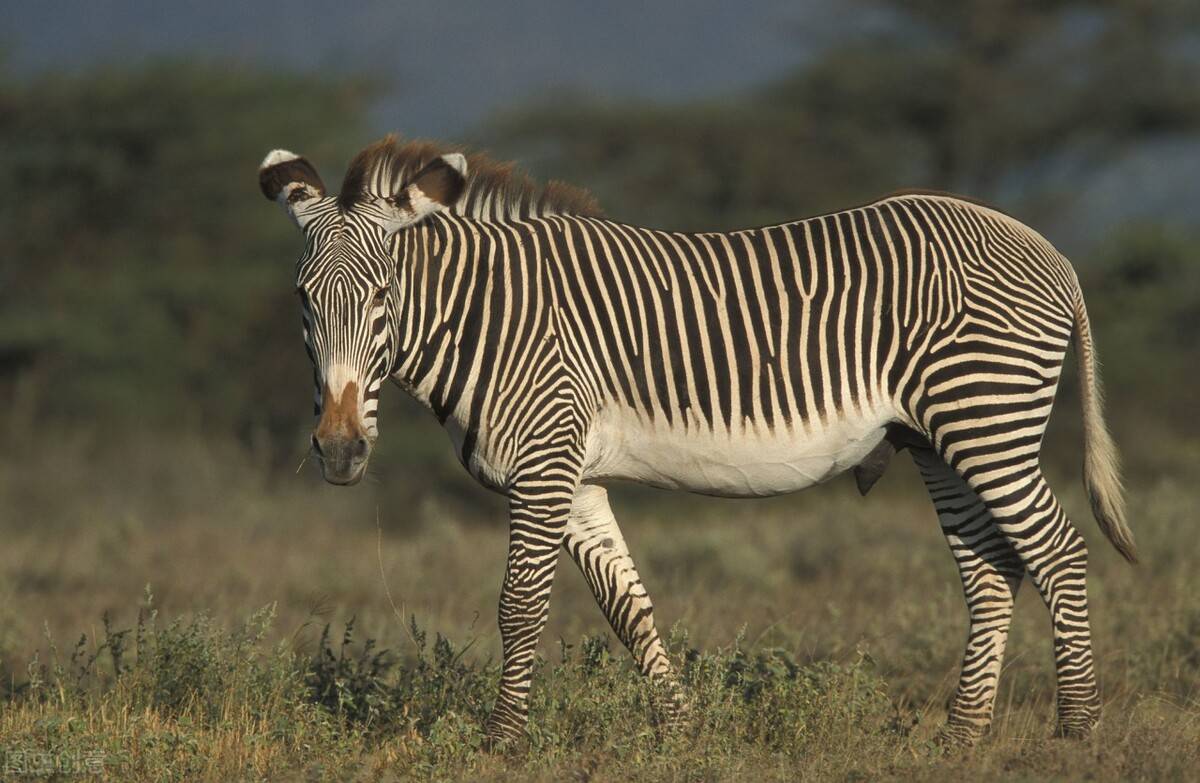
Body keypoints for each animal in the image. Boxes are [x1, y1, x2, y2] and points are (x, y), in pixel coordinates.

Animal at [260, 137, 1132, 749]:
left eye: (382, 296)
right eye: (302, 299)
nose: (338, 451)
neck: (490, 317)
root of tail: (1047, 249)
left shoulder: (543, 464)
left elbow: (520, 604)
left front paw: (501, 741)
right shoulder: (573, 476)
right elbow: (627, 606)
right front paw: (681, 729)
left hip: (987, 418)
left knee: (1057, 551)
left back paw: (1079, 727)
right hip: (937, 437)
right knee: (991, 570)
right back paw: (962, 732)